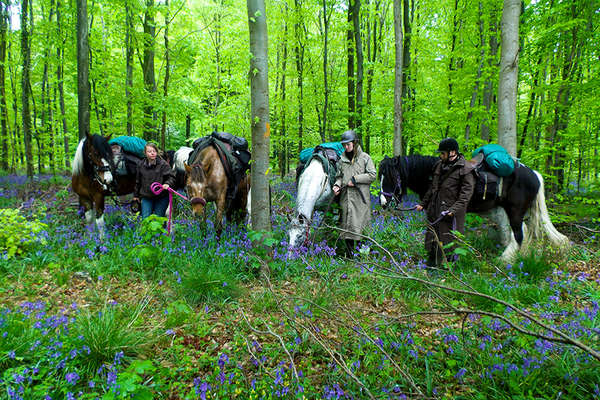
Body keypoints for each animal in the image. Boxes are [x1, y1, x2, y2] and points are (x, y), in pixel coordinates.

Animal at [378, 155, 568, 260]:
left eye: (391, 176)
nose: (383, 202)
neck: (433, 175)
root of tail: (534, 174)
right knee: (527, 232)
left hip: (515, 211)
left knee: (519, 235)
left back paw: (505, 260)